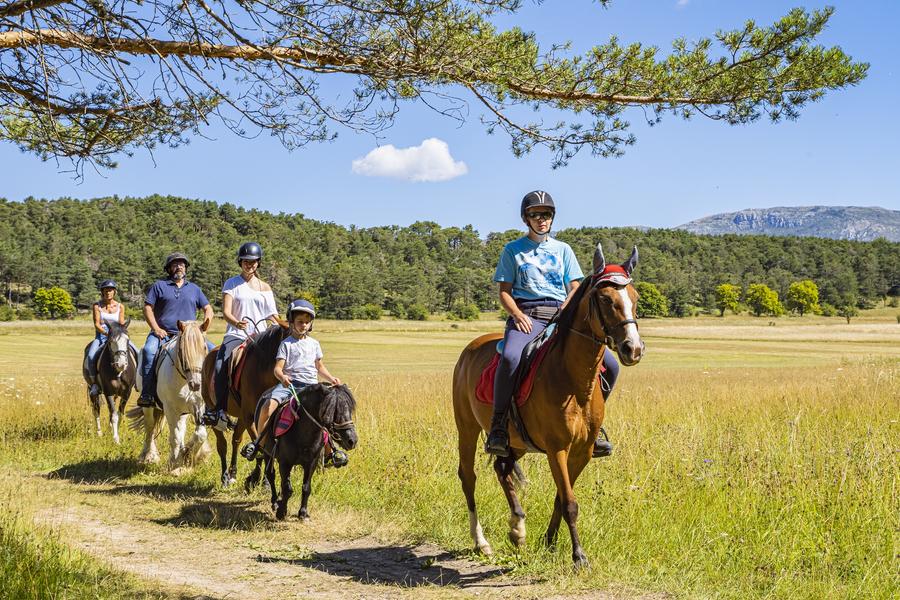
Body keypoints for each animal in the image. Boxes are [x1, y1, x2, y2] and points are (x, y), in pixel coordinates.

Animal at [128, 320, 211, 469]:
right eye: (182, 350)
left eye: (204, 348)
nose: (196, 384)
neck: (184, 380)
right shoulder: (170, 409)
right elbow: (175, 438)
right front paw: (175, 465)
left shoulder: (198, 406)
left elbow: (200, 434)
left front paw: (189, 455)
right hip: (149, 407)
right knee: (150, 427)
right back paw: (148, 456)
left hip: (183, 411)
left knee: (180, 428)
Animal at [200, 321, 289, 488]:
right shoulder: (249, 417)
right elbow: (261, 447)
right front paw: (256, 479)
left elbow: (264, 447)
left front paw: (263, 481)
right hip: (215, 413)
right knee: (222, 445)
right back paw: (225, 477)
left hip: (241, 417)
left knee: (235, 440)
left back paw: (233, 473)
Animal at [258, 383, 358, 521]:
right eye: (332, 410)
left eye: (349, 409)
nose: (352, 440)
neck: (302, 432)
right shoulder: (285, 463)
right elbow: (287, 489)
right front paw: (281, 512)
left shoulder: (312, 463)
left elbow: (306, 488)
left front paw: (303, 513)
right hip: (268, 453)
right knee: (270, 475)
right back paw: (274, 502)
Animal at [452, 243, 645, 569]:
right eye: (606, 299)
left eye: (635, 298)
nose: (633, 349)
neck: (573, 381)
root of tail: (471, 348)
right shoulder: (557, 449)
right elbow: (569, 502)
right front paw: (579, 556)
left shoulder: (582, 451)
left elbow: (561, 497)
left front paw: (549, 542)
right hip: (466, 428)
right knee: (469, 478)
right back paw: (482, 542)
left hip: (514, 440)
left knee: (503, 468)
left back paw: (517, 528)